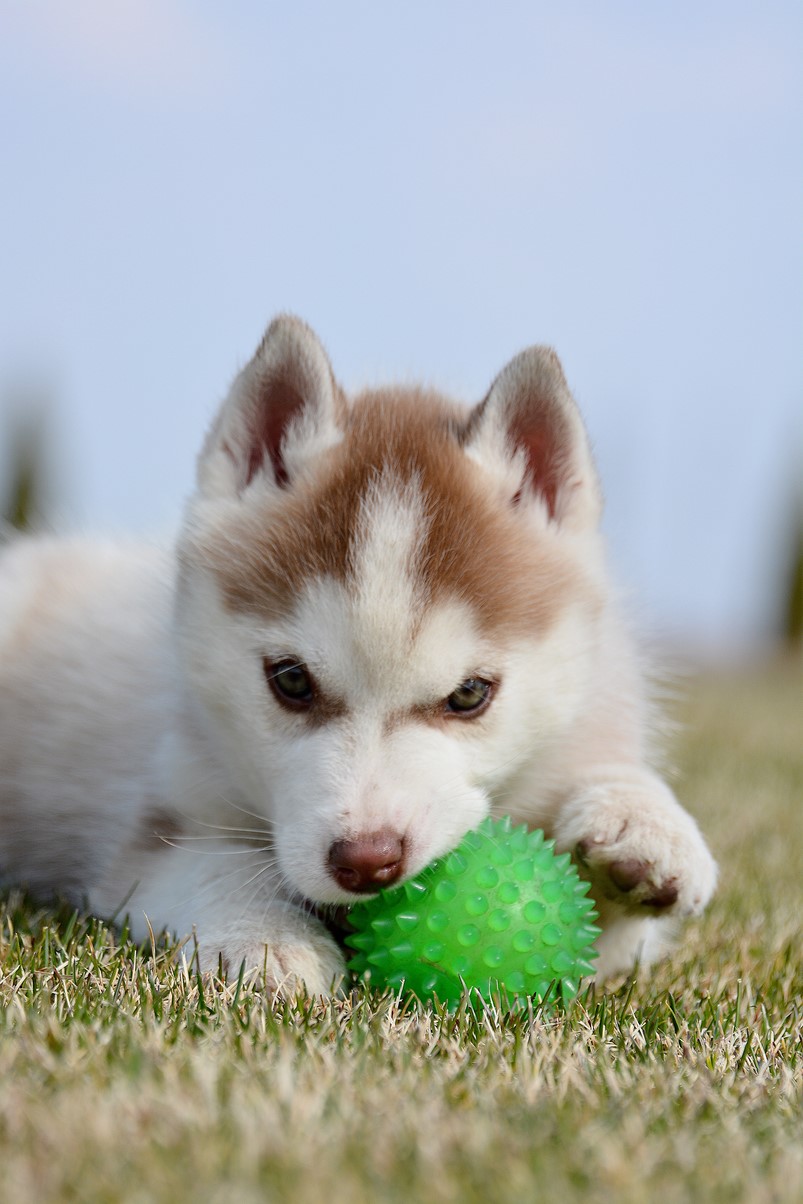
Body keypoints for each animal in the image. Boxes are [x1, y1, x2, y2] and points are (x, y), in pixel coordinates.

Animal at [0, 315, 717, 992]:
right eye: (291, 680)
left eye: (469, 694)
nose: (367, 862)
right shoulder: (155, 829)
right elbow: (217, 865)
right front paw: (269, 938)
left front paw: (641, 826)